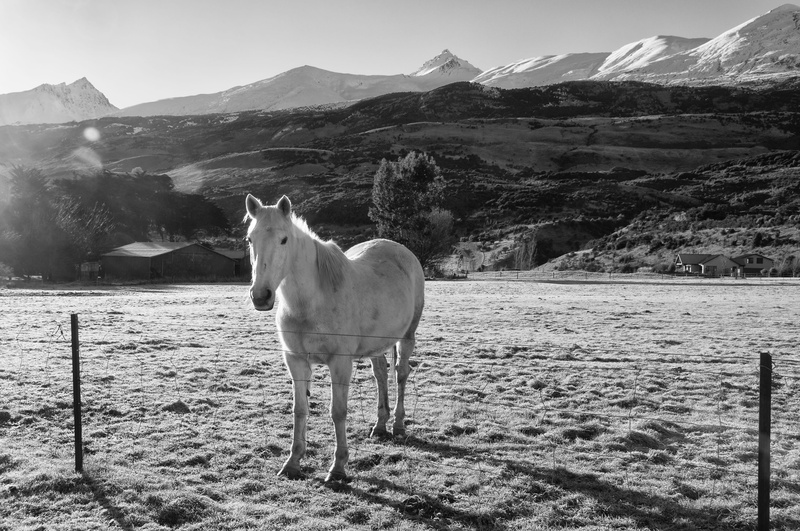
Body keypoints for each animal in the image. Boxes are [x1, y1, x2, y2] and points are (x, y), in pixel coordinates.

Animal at [244, 194, 425, 482]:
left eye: (284, 239)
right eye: (250, 239)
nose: (261, 296)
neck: (311, 302)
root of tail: (402, 251)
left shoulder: (340, 363)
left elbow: (337, 412)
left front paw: (338, 467)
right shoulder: (296, 361)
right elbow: (299, 410)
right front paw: (292, 463)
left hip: (407, 336)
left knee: (400, 374)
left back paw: (397, 425)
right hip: (376, 345)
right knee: (381, 374)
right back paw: (380, 425)